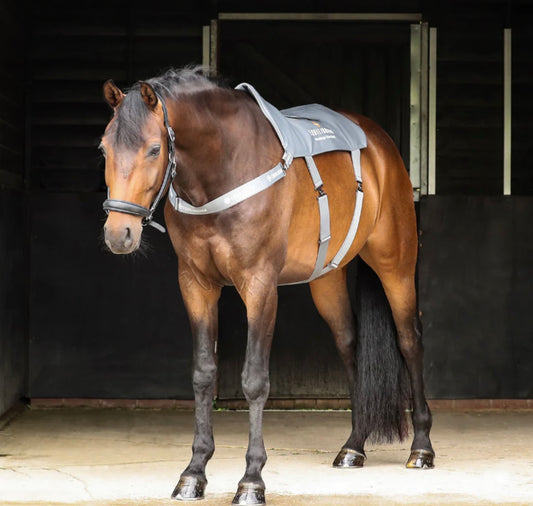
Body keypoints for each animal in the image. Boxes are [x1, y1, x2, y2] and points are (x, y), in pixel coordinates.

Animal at [100, 68, 432, 506]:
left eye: (155, 149)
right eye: (104, 149)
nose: (118, 234)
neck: (223, 170)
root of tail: (380, 143)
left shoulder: (259, 286)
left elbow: (254, 380)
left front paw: (251, 480)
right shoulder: (196, 285)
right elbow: (203, 375)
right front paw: (193, 473)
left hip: (396, 265)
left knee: (410, 342)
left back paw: (422, 448)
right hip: (327, 279)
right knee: (350, 346)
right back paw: (353, 447)